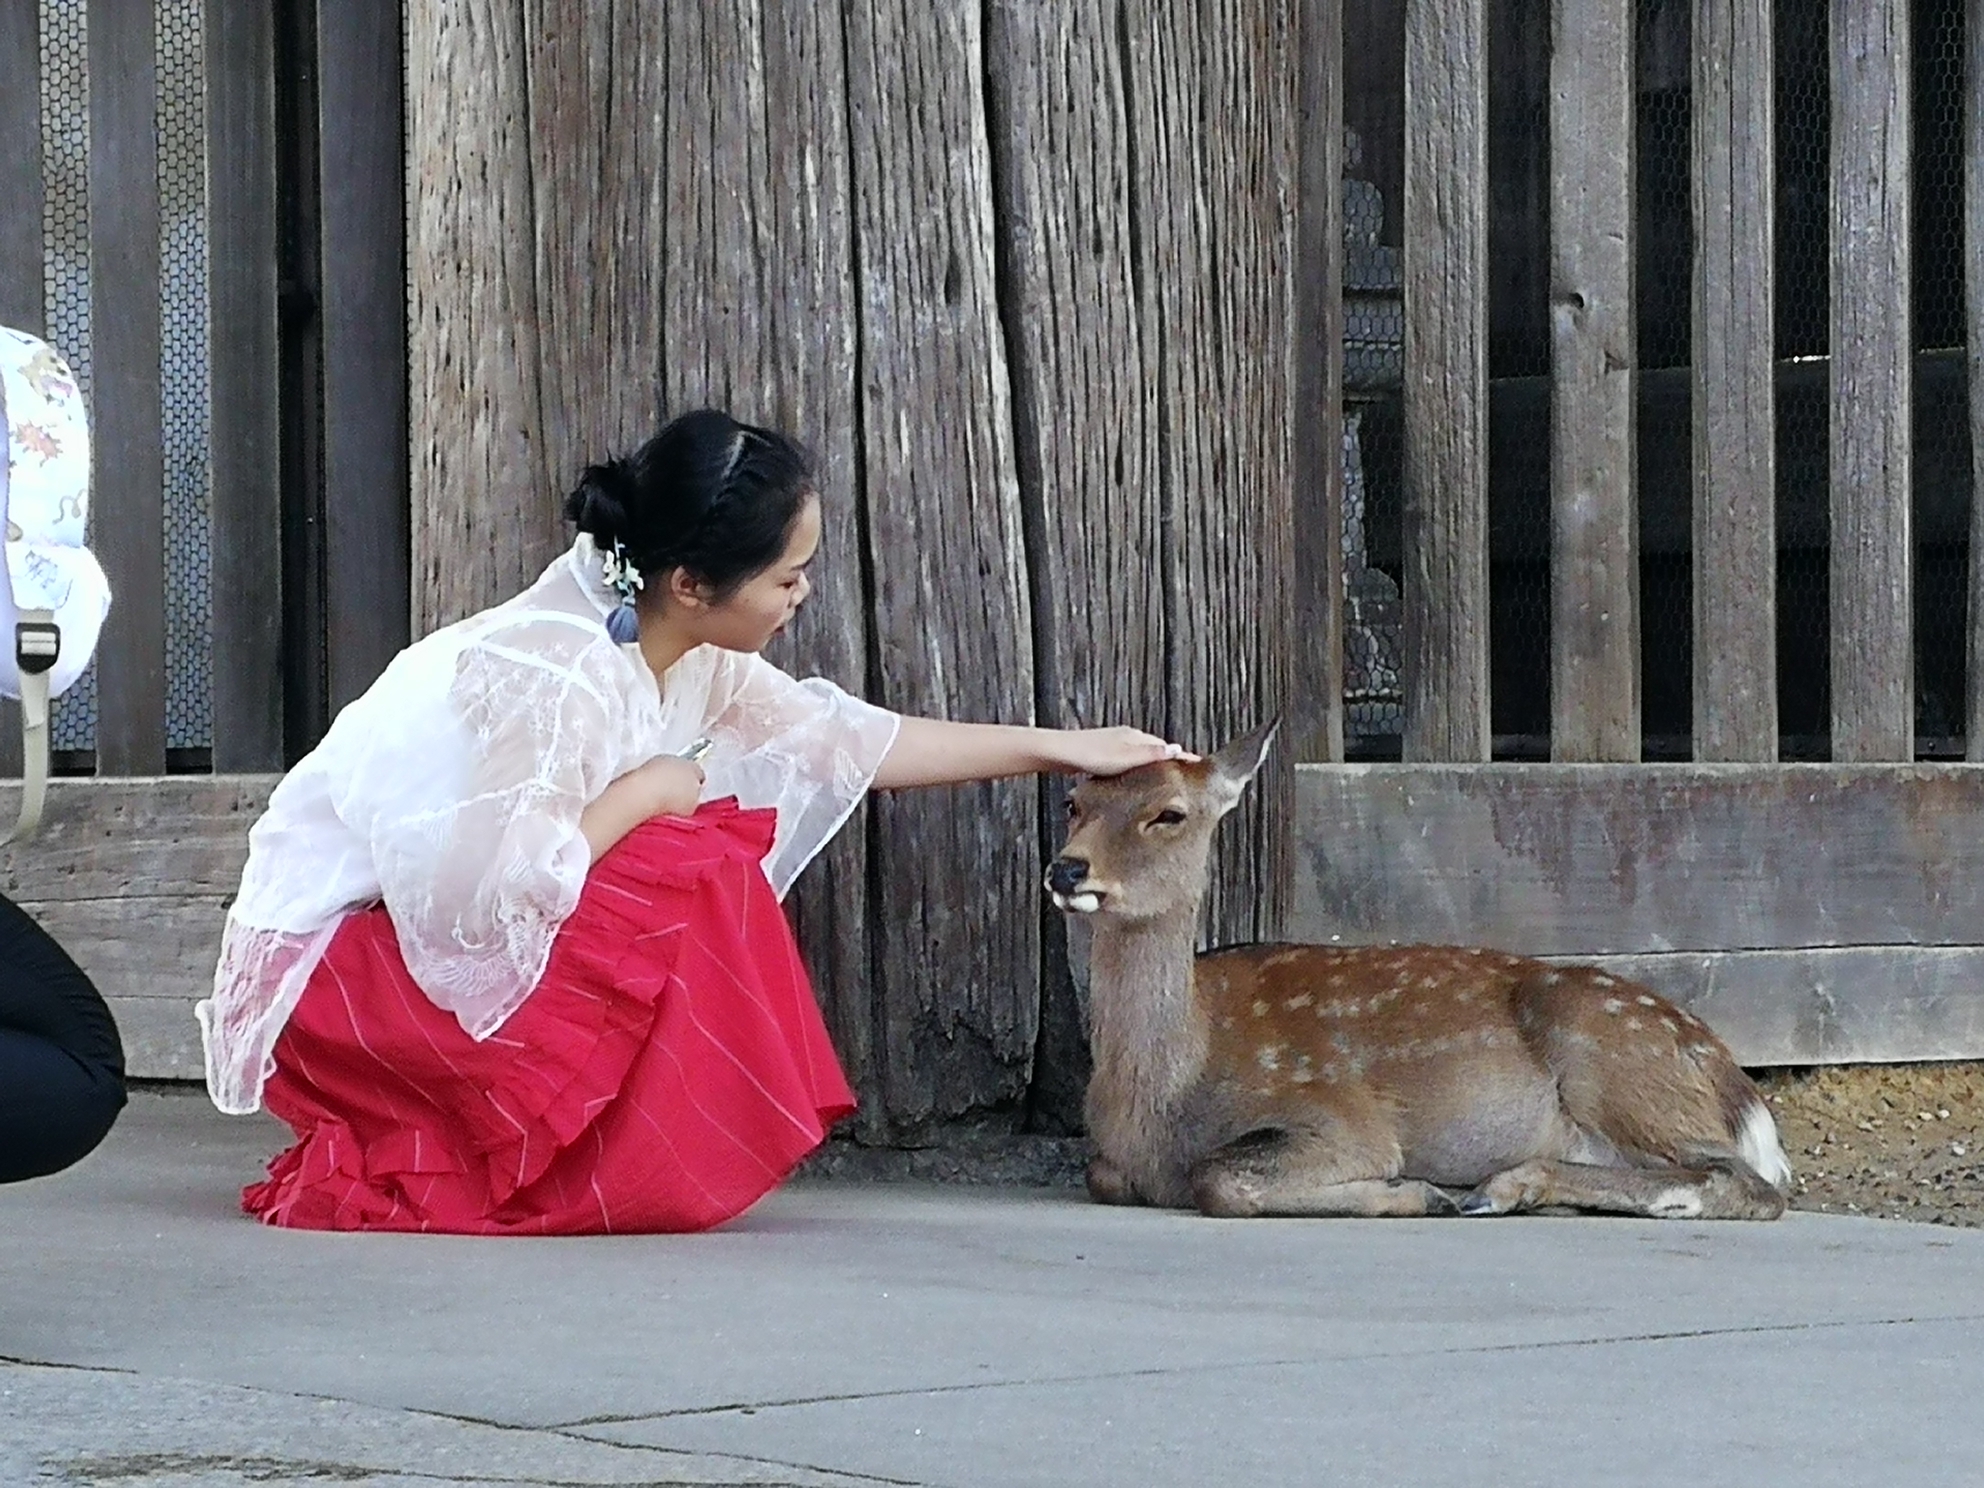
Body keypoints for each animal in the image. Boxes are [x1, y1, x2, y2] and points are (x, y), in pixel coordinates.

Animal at [1047, 726, 1793, 1222]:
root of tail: (1732, 1084)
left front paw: (1416, 1191)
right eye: (1074, 801)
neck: (1163, 1102)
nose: (1067, 868)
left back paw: (1495, 1189)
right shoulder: (1110, 1161)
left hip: (1614, 1061)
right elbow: (1103, 1173)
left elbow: (1221, 1180)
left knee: (1750, 1184)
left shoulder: (1340, 1116)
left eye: (1169, 813)